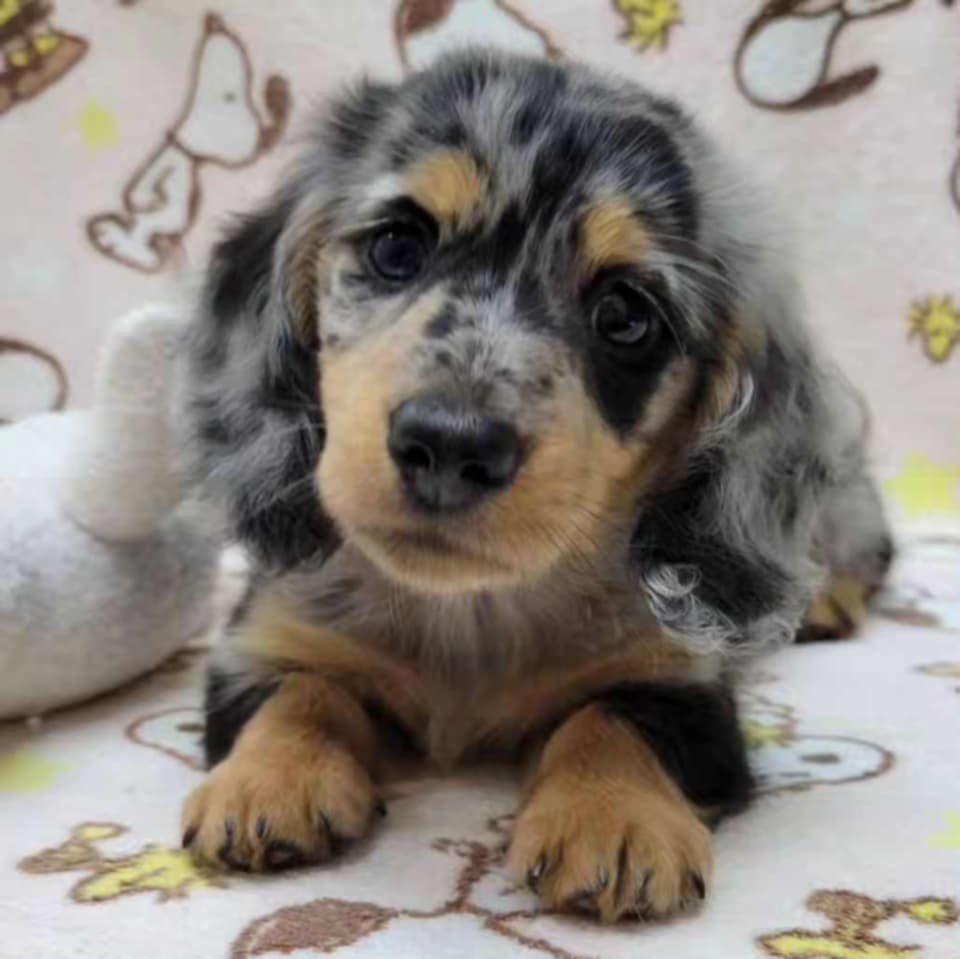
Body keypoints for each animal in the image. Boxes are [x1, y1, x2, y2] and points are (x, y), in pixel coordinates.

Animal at [178, 50, 892, 924]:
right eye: (397, 247)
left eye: (625, 314)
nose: (451, 443)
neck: (468, 611)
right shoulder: (266, 636)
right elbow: (301, 689)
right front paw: (269, 778)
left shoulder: (683, 686)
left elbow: (610, 715)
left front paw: (612, 817)